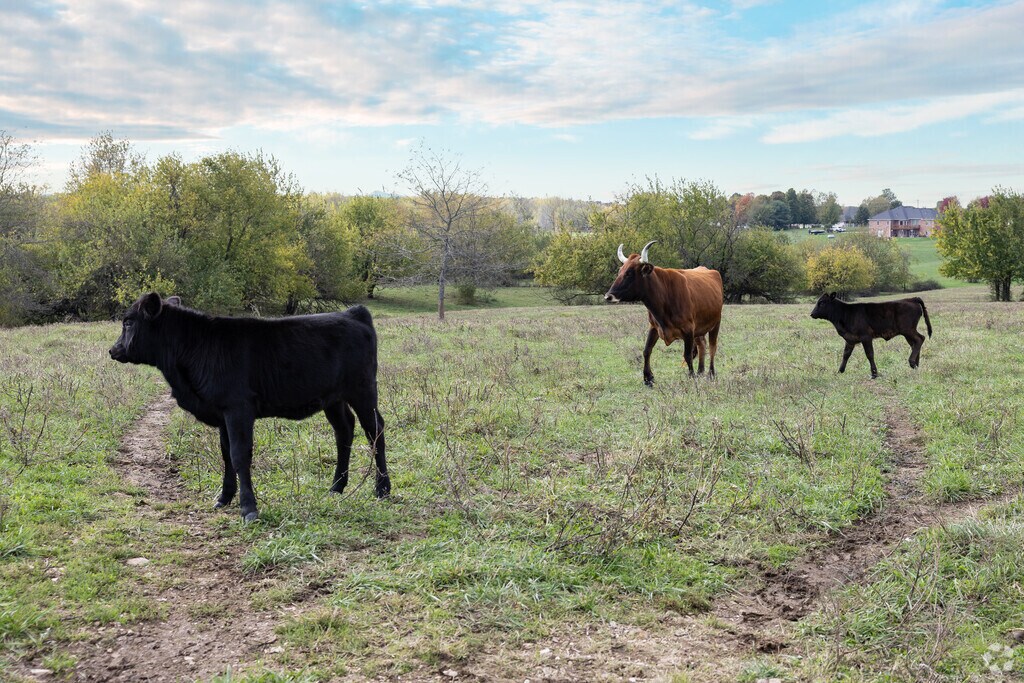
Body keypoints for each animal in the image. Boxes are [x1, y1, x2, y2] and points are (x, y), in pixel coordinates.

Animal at [109, 292, 389, 523]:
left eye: (128, 322)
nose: (114, 350)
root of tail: (352, 313)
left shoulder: (238, 409)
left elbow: (239, 455)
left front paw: (248, 508)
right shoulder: (221, 413)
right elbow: (226, 455)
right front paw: (223, 498)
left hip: (363, 390)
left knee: (375, 431)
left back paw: (382, 489)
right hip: (333, 398)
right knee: (344, 431)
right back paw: (336, 488)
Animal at [604, 241, 724, 386]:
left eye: (629, 273)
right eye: (620, 271)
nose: (608, 296)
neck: (665, 294)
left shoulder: (688, 329)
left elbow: (687, 355)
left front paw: (691, 377)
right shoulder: (654, 327)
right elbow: (646, 350)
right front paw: (648, 378)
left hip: (716, 323)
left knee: (712, 347)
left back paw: (711, 374)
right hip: (699, 328)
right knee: (702, 345)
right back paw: (701, 371)